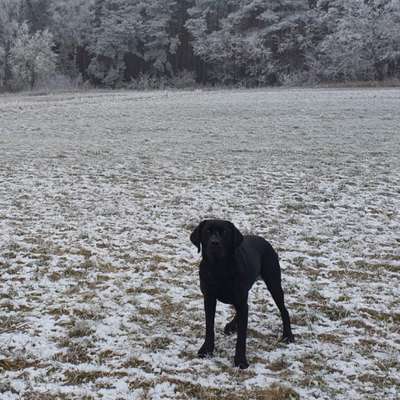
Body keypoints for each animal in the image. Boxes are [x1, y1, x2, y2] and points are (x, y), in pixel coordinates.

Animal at [191, 219, 294, 368]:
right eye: (207, 231)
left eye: (225, 232)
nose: (214, 243)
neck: (219, 269)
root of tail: (264, 240)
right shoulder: (209, 298)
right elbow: (209, 327)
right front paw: (207, 350)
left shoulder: (240, 298)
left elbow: (241, 336)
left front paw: (240, 360)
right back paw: (231, 325)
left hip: (273, 283)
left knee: (284, 310)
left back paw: (288, 335)